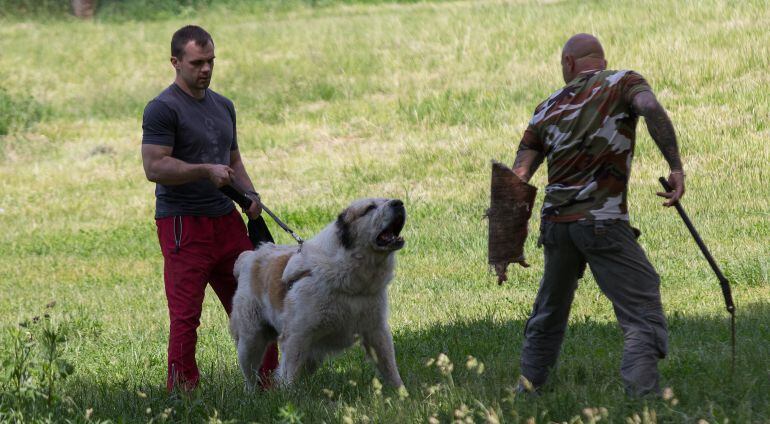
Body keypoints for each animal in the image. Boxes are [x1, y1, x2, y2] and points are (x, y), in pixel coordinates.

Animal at [230, 197, 404, 390]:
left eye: (387, 200)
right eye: (370, 208)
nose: (398, 203)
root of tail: (248, 257)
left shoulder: (376, 331)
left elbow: (389, 365)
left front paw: (400, 391)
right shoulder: (296, 336)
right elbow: (289, 373)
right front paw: (288, 396)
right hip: (250, 340)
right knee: (250, 375)